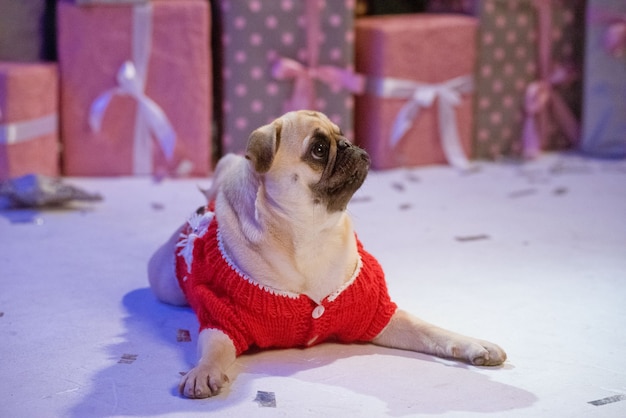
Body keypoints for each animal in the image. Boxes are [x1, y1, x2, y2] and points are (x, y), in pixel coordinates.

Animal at [149, 110, 504, 398]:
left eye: (341, 134)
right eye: (319, 150)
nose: (347, 144)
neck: (312, 234)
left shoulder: (379, 315)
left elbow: (433, 331)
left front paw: (474, 344)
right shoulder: (224, 320)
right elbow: (214, 350)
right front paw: (203, 371)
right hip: (167, 285)